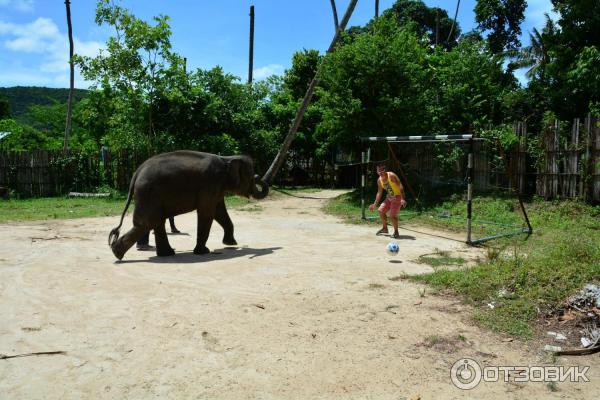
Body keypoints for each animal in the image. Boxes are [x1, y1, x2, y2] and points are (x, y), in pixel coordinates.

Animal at [107, 150, 268, 260]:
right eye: (251, 176)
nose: (257, 176)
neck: (226, 158)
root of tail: (136, 173)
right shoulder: (211, 184)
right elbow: (207, 212)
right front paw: (203, 251)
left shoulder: (216, 188)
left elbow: (219, 212)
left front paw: (231, 244)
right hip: (148, 194)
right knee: (148, 223)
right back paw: (117, 254)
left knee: (156, 222)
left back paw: (166, 254)